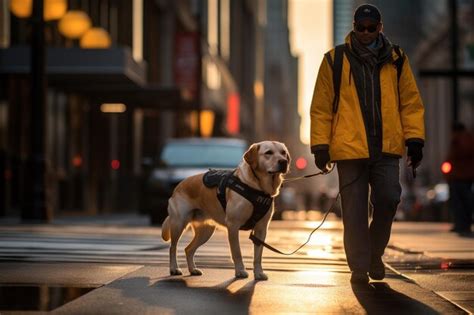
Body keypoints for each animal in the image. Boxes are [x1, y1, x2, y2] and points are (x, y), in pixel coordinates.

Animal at [161, 142, 290, 280]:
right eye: (268, 152)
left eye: (283, 153)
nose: (284, 161)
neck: (258, 188)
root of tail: (178, 186)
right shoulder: (233, 225)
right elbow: (237, 252)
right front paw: (240, 271)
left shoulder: (261, 228)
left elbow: (258, 255)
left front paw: (259, 273)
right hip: (178, 223)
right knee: (173, 247)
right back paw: (174, 268)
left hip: (205, 231)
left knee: (188, 249)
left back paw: (193, 269)